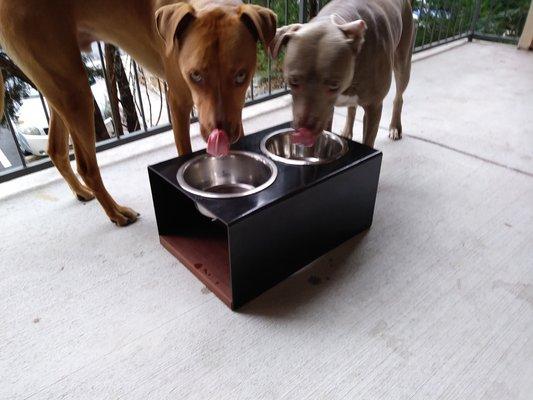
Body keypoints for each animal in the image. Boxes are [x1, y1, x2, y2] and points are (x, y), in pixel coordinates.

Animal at [0, 0, 274, 225]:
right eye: (195, 76)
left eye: (241, 75)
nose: (221, 136)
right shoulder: (178, 101)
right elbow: (183, 149)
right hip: (74, 91)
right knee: (86, 166)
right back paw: (116, 212)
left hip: (57, 83)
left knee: (56, 149)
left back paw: (81, 191)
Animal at [270, 0, 412, 147]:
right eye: (293, 82)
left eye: (334, 86)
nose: (306, 130)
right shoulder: (327, 111)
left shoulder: (374, 107)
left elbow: (368, 140)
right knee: (352, 108)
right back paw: (347, 131)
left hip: (403, 61)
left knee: (399, 96)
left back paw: (395, 127)